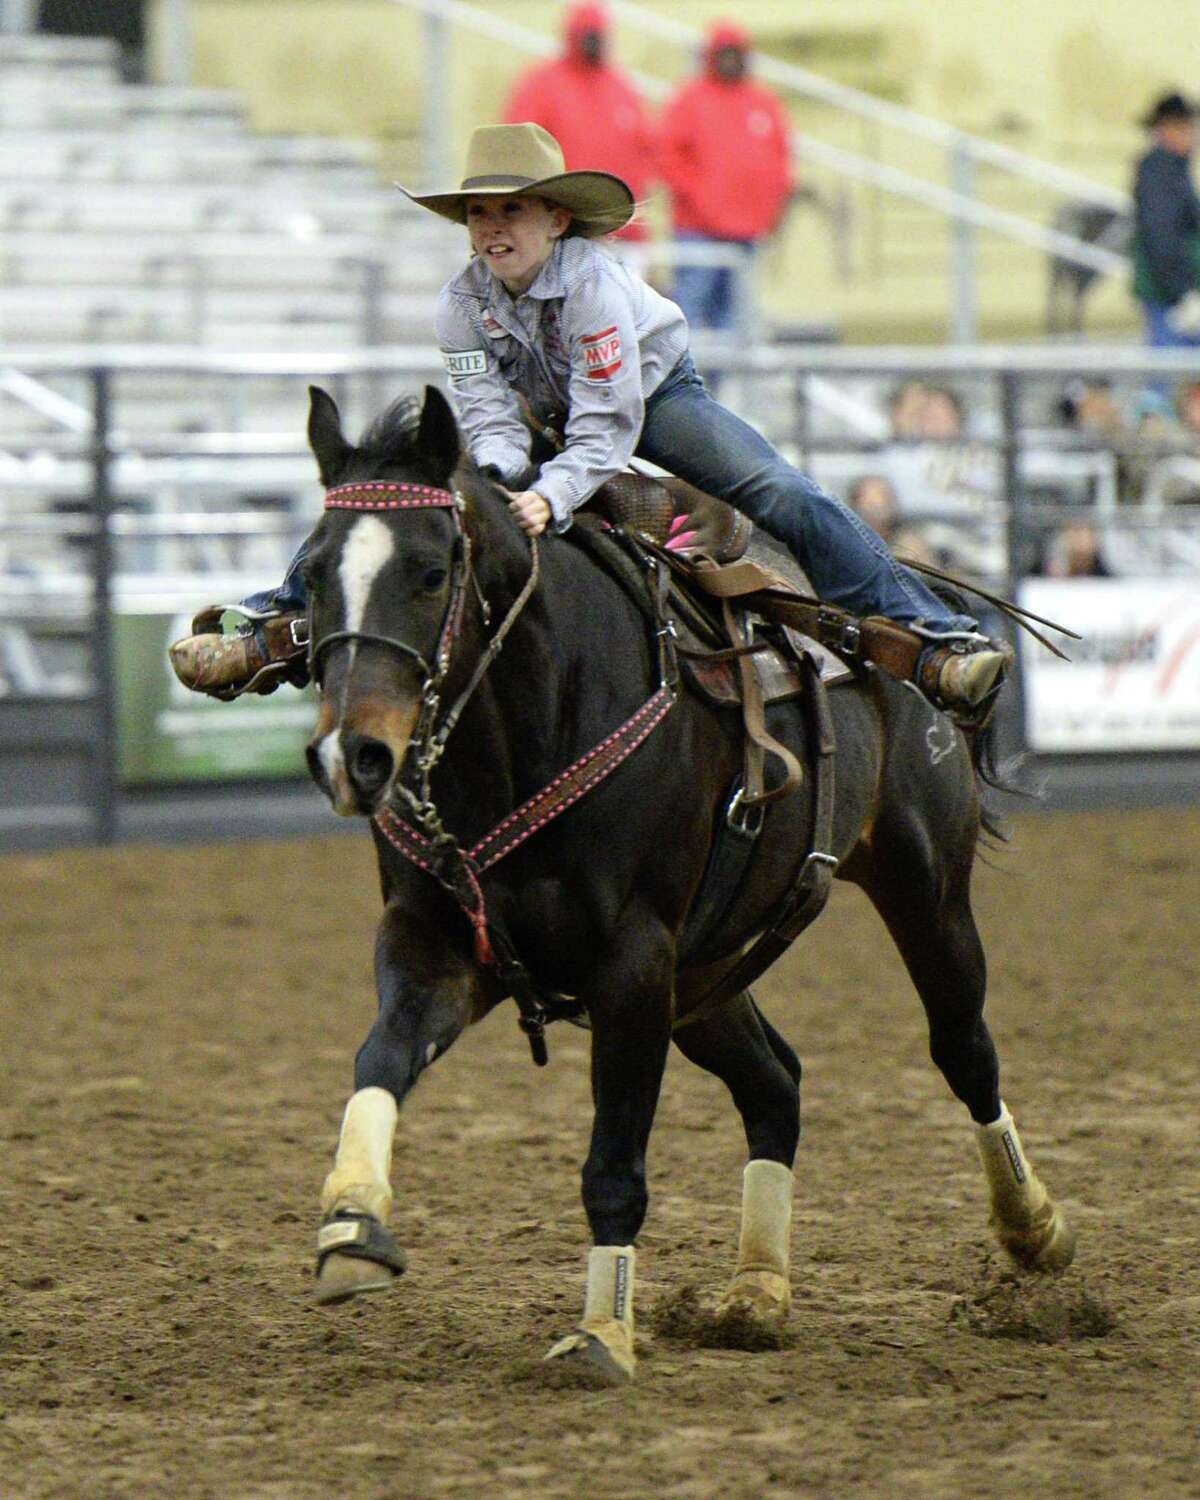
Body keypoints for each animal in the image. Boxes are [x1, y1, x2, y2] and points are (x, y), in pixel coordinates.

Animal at [295, 384, 1074, 1380]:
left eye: (433, 573)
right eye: (310, 576)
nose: (351, 757)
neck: (527, 725)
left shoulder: (633, 961)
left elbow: (614, 1165)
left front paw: (603, 1330)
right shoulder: (434, 943)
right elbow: (382, 1058)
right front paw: (351, 1225)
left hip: (925, 891)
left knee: (964, 1050)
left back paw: (1035, 1230)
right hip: (706, 976)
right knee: (775, 1083)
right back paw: (756, 1292)